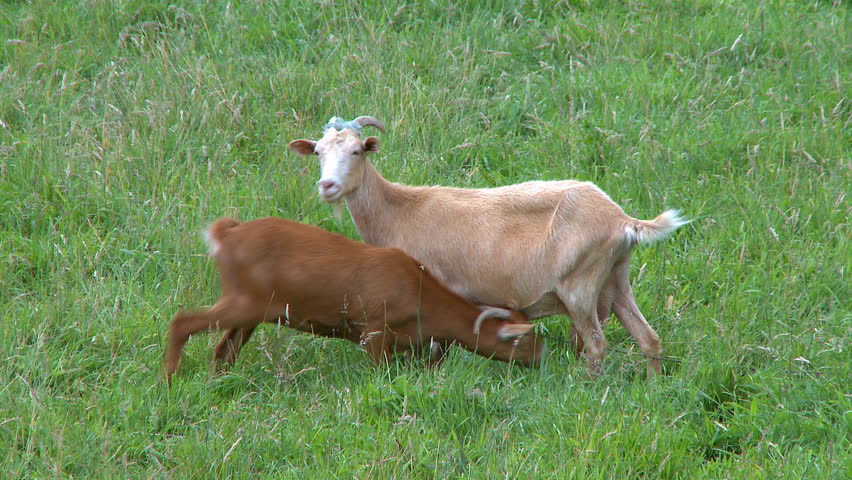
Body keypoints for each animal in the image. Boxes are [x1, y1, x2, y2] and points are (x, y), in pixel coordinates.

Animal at [163, 217, 544, 378]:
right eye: (523, 341)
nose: (541, 361)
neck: (422, 300)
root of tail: (224, 236)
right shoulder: (373, 329)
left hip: (254, 310)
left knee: (223, 350)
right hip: (244, 300)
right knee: (183, 321)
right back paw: (171, 379)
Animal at [290, 117, 688, 378]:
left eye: (357, 151)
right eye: (318, 153)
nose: (327, 186)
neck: (398, 211)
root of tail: (622, 220)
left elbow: (437, 345)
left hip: (580, 285)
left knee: (596, 345)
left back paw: (588, 386)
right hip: (616, 277)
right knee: (649, 339)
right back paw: (653, 387)